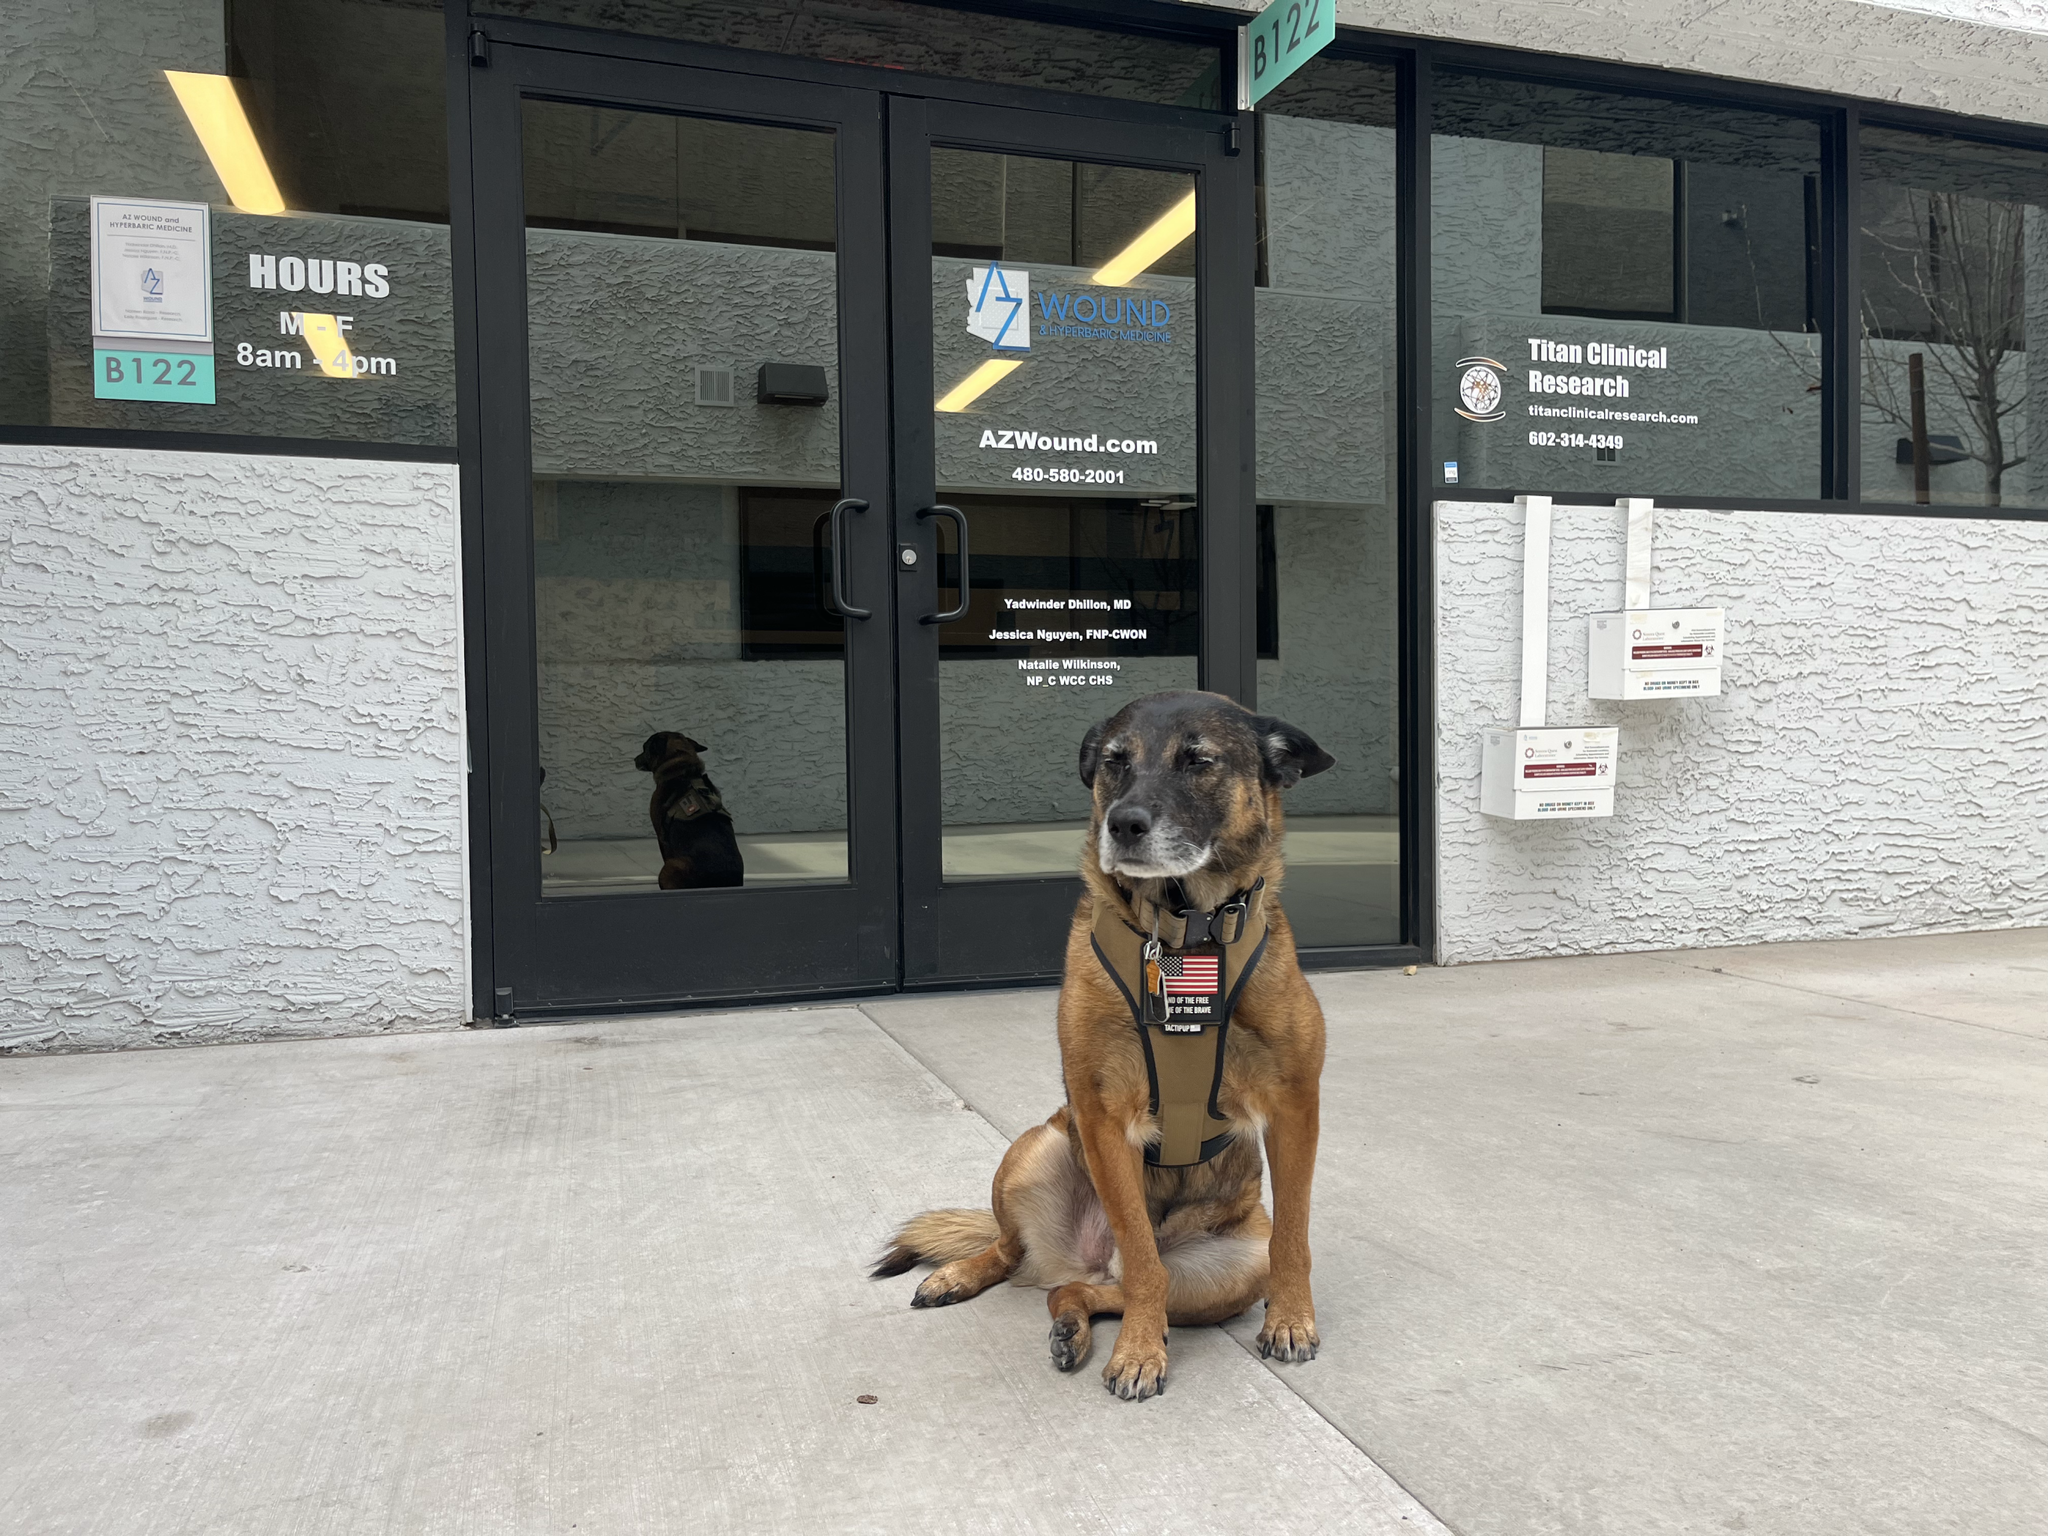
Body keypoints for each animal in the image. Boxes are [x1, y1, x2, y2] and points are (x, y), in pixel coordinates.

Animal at [876, 692, 1327, 1400]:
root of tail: (1082, 1258)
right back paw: (962, 1276)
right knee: (1029, 1257)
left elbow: (1294, 1237)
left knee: (1080, 1291)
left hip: (1231, 1267)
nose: (1124, 824)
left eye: (1197, 761)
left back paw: (1073, 1324)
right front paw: (1140, 1351)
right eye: (1115, 762)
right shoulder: (1102, 1119)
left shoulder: (1295, 1107)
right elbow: (1142, 1259)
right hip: (1034, 1149)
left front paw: (1290, 1318)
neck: (1185, 936)